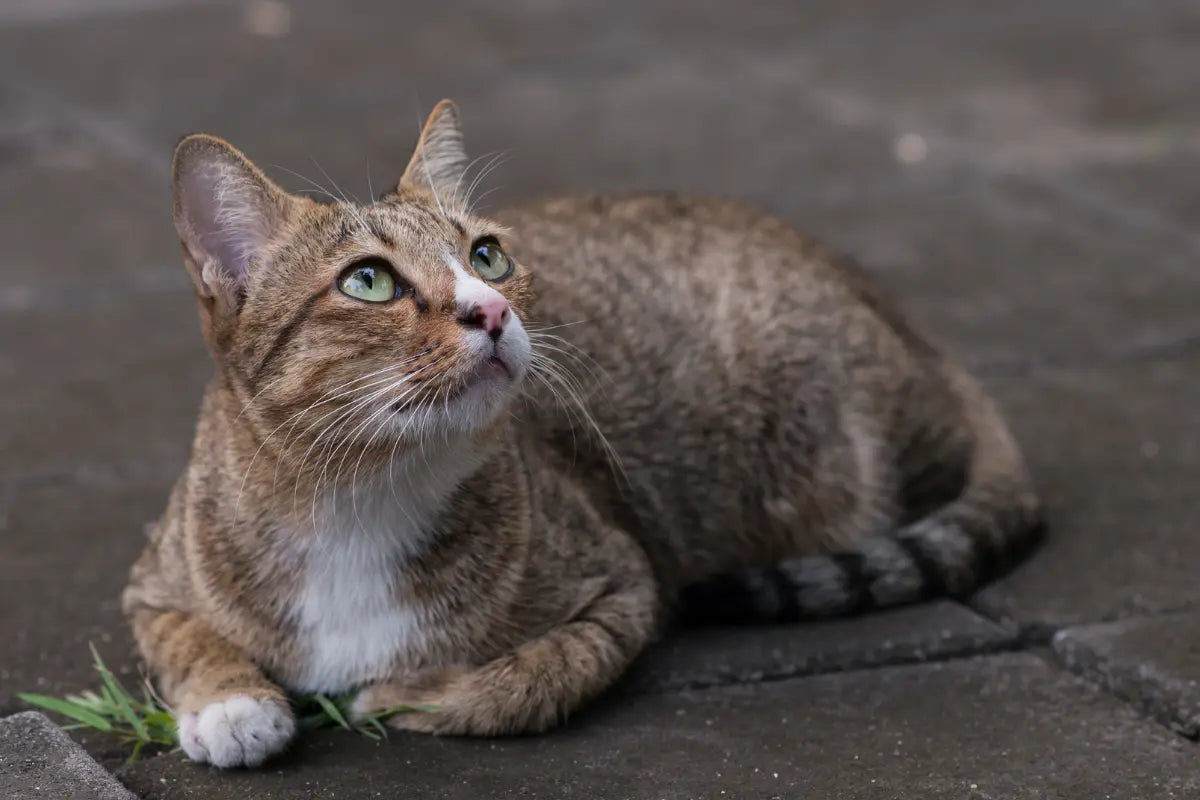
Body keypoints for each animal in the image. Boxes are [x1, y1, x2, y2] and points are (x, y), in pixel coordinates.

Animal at [119, 100, 1041, 767]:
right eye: (368, 281)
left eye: (487, 257)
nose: (492, 310)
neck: (359, 493)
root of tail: (912, 327)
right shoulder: (153, 577)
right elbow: (185, 636)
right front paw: (233, 704)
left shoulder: (624, 589)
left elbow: (528, 680)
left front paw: (401, 694)